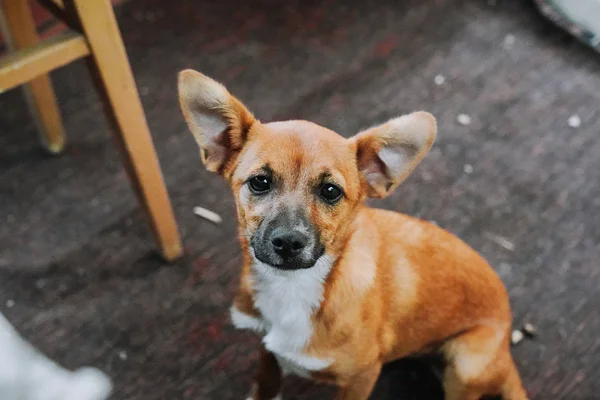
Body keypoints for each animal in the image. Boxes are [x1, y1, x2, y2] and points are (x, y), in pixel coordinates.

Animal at [177, 69, 524, 400]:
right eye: (259, 182)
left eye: (330, 191)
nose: (289, 242)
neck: (293, 288)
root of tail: (506, 353)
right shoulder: (266, 349)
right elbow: (266, 382)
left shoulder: (361, 378)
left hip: (465, 364)